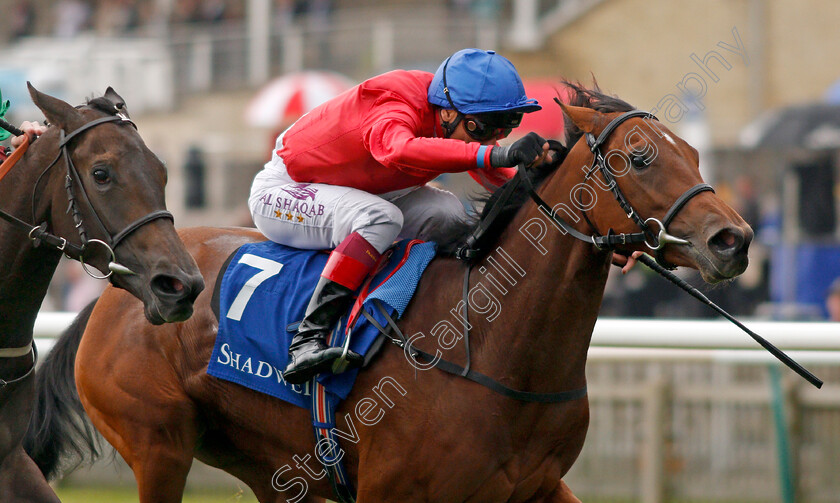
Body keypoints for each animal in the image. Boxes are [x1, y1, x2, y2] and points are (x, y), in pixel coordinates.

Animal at [26, 84, 752, 502]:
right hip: (159, 443)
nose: (733, 239)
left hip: (269, 463)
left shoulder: (538, 486)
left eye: (693, 151)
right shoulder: (396, 491)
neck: (494, 347)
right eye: (641, 158)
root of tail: (116, 288)